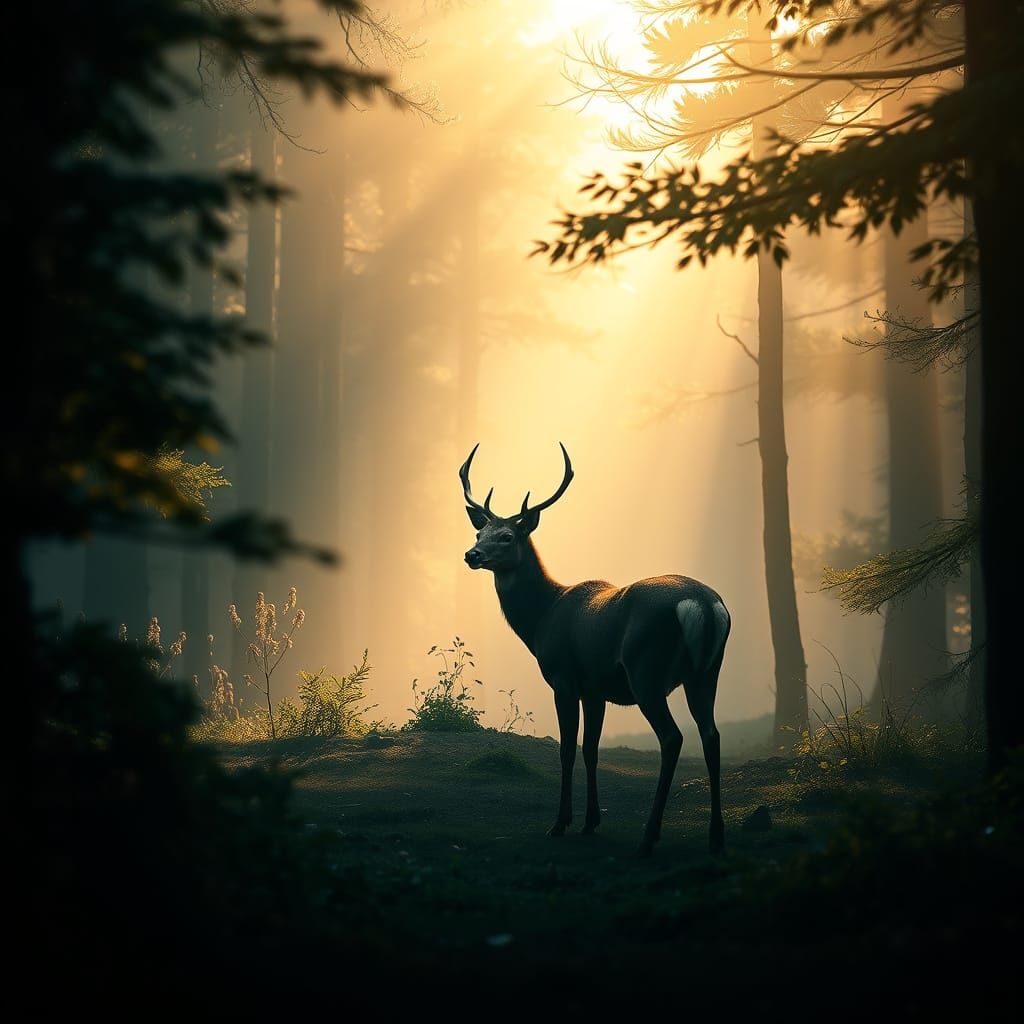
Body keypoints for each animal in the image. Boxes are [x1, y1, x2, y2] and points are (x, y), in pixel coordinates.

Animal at [460, 443, 730, 856]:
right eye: (479, 530)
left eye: (507, 536)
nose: (471, 554)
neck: (542, 619)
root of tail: (703, 604)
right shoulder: (596, 689)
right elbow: (591, 749)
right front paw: (590, 821)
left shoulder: (563, 678)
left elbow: (567, 749)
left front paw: (560, 823)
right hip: (706, 672)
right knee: (711, 735)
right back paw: (716, 836)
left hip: (646, 671)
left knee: (673, 737)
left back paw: (649, 835)